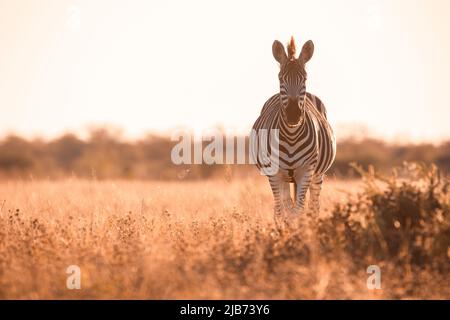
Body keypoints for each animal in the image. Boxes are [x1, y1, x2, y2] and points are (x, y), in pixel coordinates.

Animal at [251, 36, 336, 219]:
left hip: (317, 175)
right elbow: (283, 210)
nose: (293, 115)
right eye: (280, 78)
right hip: (284, 178)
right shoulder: (274, 173)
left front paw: (298, 227)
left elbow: (298, 211)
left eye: (305, 78)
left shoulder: (306, 171)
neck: (291, 135)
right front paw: (284, 226)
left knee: (313, 206)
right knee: (284, 204)